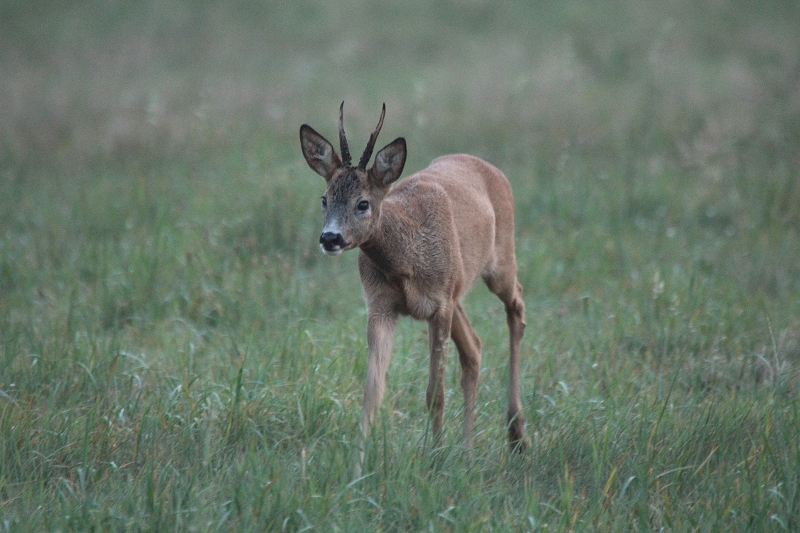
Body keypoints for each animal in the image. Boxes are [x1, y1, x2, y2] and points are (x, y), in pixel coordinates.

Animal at [300, 103, 524, 470]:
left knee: (517, 305)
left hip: (500, 260)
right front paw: (357, 467)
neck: (405, 261)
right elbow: (372, 392)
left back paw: (516, 433)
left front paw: (435, 457)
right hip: (458, 289)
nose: (330, 237)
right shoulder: (380, 307)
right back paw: (467, 449)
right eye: (324, 198)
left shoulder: (439, 305)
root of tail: (493, 170)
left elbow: (436, 393)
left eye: (363, 203)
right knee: (474, 348)